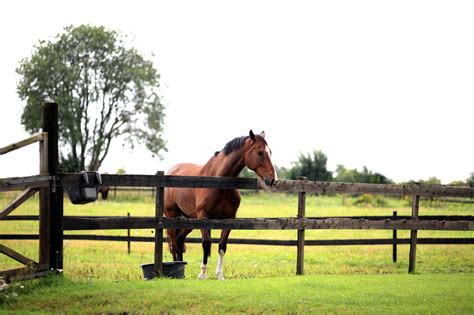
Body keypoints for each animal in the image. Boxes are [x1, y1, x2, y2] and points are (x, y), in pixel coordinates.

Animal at [165, 130, 278, 280]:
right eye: (260, 152)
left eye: (270, 152)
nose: (273, 179)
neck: (219, 182)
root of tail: (171, 171)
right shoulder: (204, 217)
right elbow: (206, 244)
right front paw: (202, 274)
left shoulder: (229, 219)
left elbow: (222, 246)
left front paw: (219, 275)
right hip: (171, 216)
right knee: (173, 244)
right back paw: (174, 272)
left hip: (189, 220)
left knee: (179, 241)